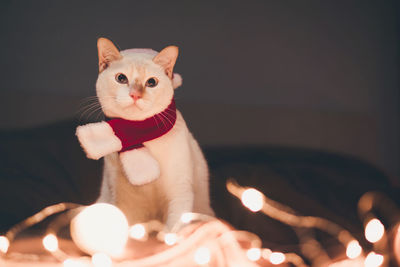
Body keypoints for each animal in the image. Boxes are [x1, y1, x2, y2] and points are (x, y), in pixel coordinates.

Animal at [77, 38, 216, 230]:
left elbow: (171, 232)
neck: (138, 134)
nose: (135, 95)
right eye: (121, 78)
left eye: (151, 82)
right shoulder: (122, 201)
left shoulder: (179, 193)